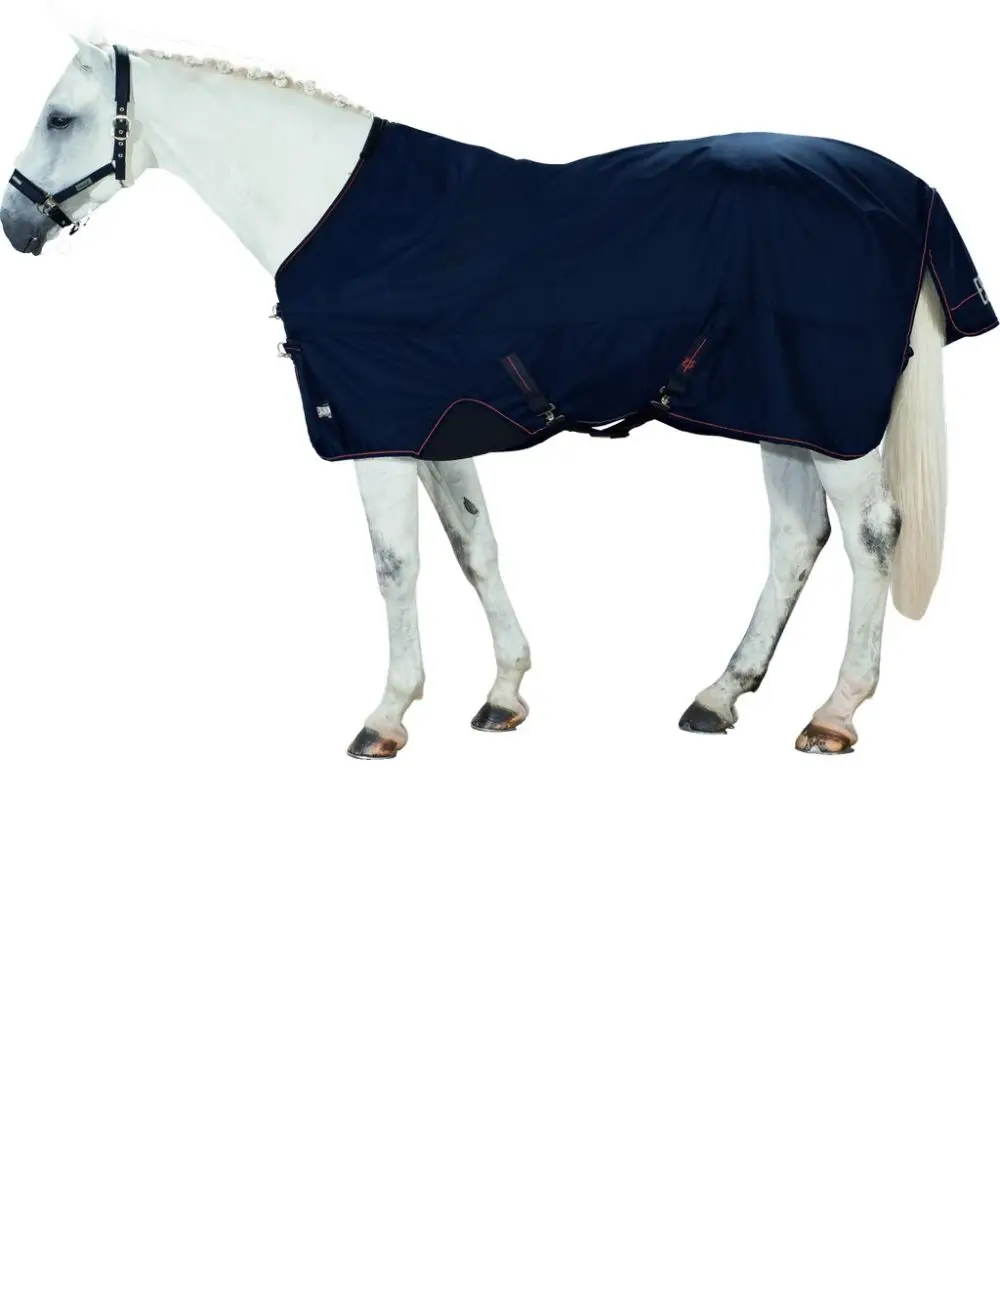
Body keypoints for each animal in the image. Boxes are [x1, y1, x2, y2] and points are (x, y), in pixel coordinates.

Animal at [3, 38, 994, 759]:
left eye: (60, 117)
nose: (16, 227)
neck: (337, 214)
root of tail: (905, 190)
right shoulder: (439, 432)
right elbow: (474, 548)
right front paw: (505, 692)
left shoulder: (379, 434)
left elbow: (396, 565)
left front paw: (388, 714)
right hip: (779, 410)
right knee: (796, 539)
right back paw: (720, 696)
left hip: (831, 421)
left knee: (871, 538)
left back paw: (835, 713)